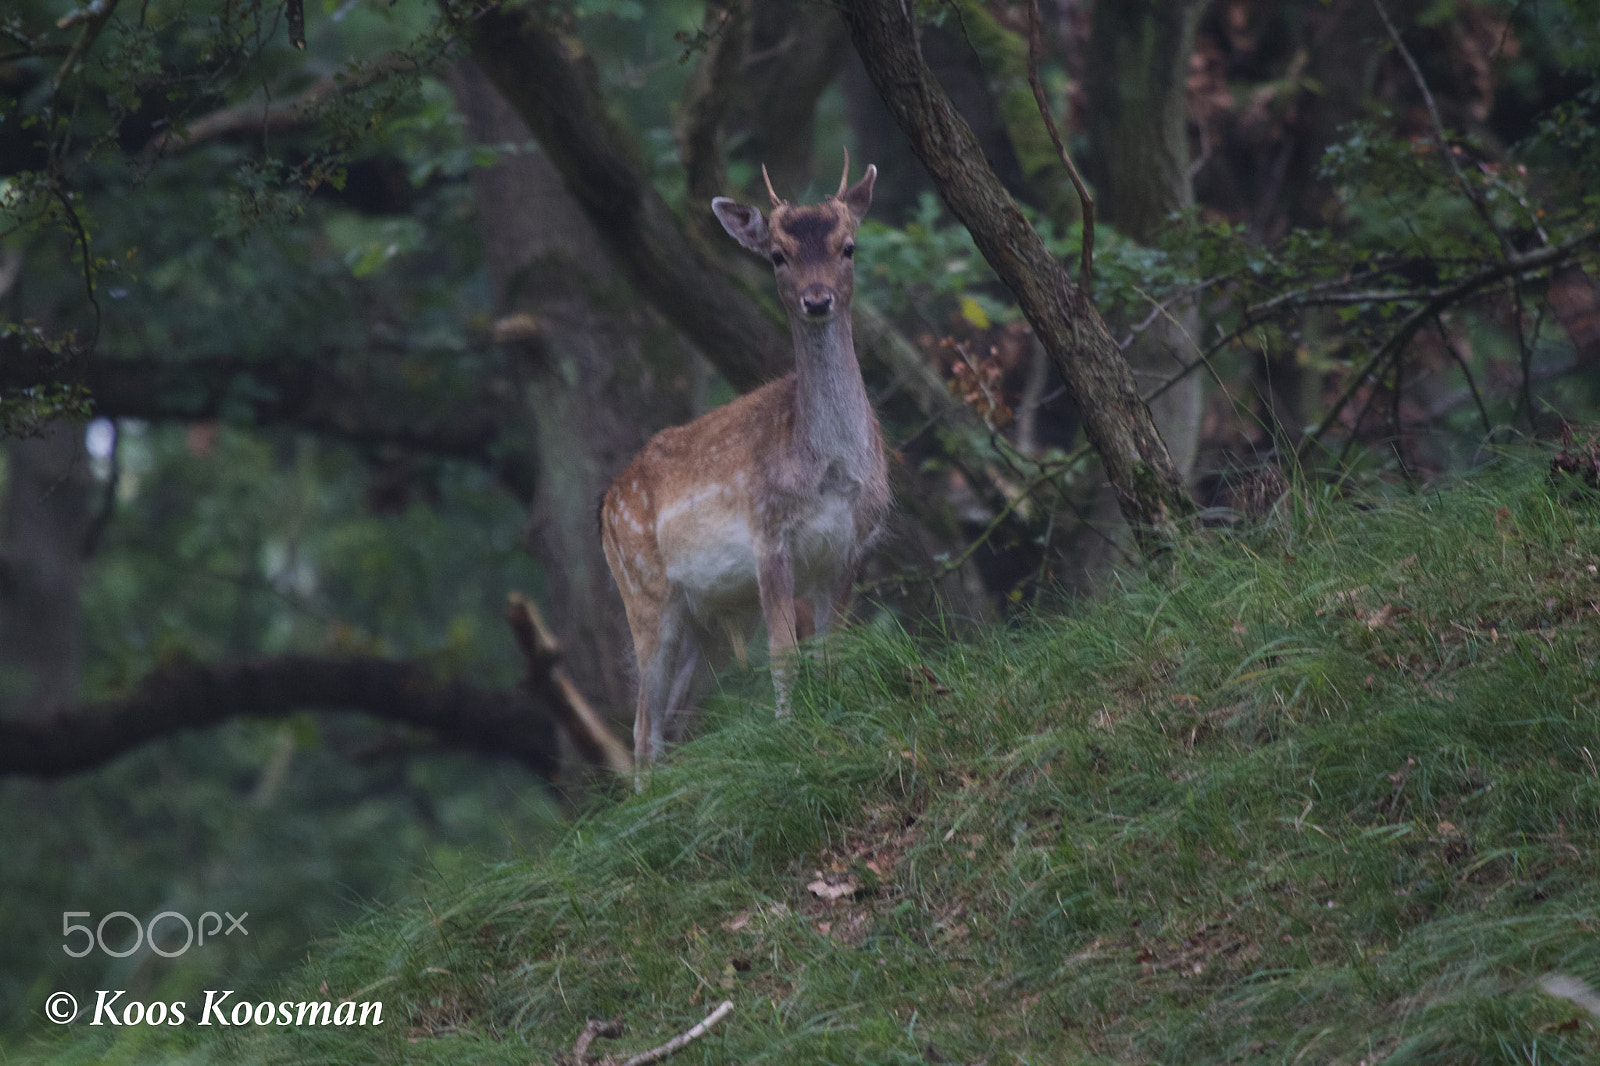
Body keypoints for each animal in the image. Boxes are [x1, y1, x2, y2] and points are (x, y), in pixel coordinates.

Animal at [600, 152, 888, 772]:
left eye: (848, 246)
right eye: (778, 255)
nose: (817, 299)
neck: (830, 470)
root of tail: (606, 502)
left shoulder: (851, 547)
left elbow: (832, 652)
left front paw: (835, 721)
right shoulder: (767, 536)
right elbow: (784, 655)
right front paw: (790, 735)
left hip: (704, 615)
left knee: (672, 720)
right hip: (644, 594)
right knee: (641, 726)